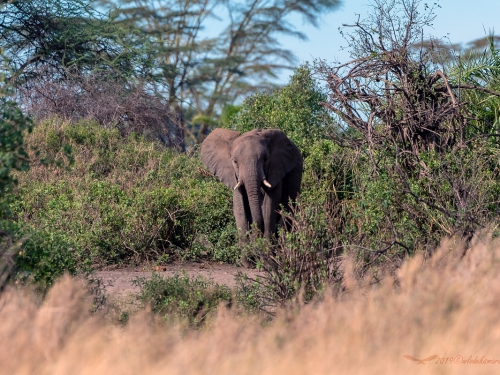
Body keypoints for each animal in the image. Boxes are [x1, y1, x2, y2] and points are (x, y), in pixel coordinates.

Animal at [200, 129, 302, 268]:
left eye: (265, 159)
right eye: (235, 161)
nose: (256, 244)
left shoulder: (276, 169)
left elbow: (269, 208)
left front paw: (267, 263)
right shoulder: (234, 176)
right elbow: (239, 209)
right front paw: (247, 264)